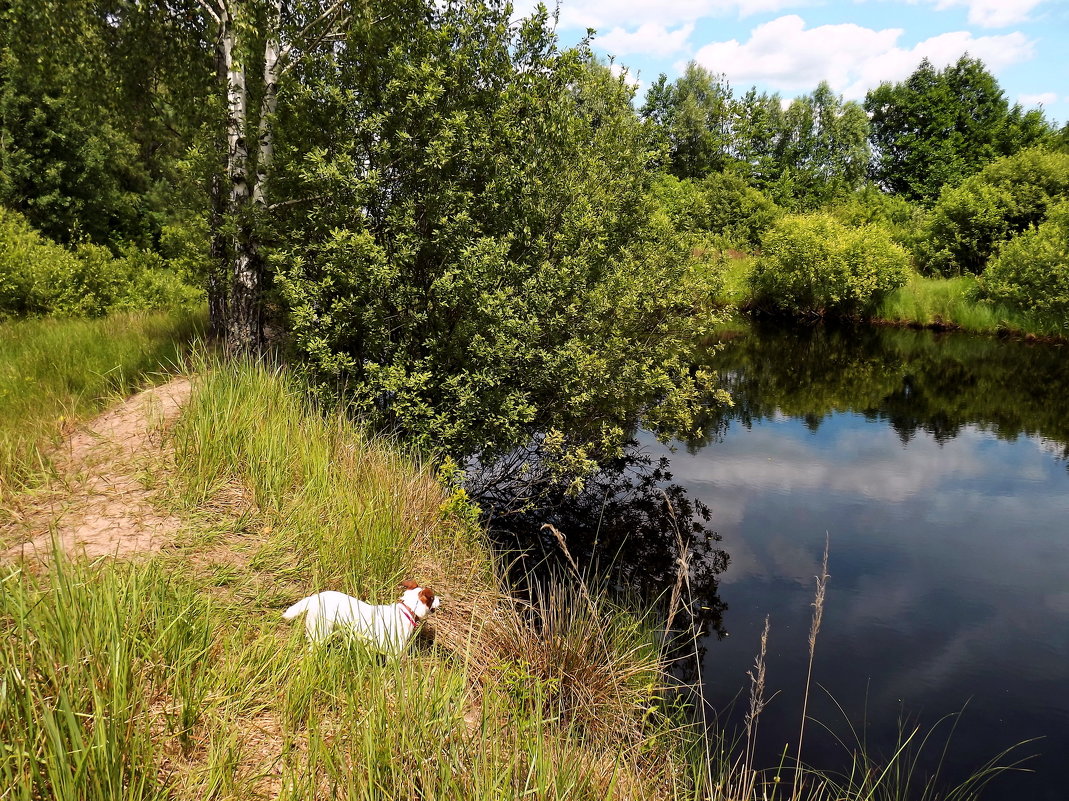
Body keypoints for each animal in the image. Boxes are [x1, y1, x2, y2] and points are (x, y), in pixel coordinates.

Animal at [282, 577, 440, 654]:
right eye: (433, 598)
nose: (441, 599)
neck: (407, 609)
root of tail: (316, 597)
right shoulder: (395, 651)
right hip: (321, 632)